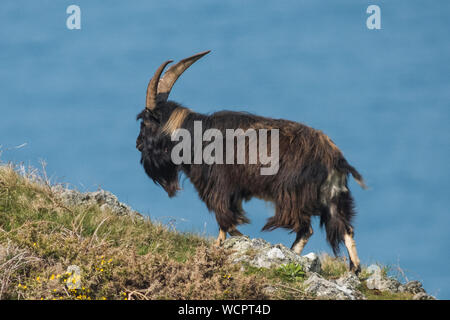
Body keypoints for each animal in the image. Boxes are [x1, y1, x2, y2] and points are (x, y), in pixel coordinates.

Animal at [135, 50, 368, 272]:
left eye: (144, 123)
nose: (138, 144)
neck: (195, 136)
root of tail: (334, 158)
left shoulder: (220, 186)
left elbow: (225, 219)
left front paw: (222, 245)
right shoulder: (235, 191)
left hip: (293, 194)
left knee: (305, 228)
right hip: (333, 197)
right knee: (345, 228)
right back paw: (354, 269)